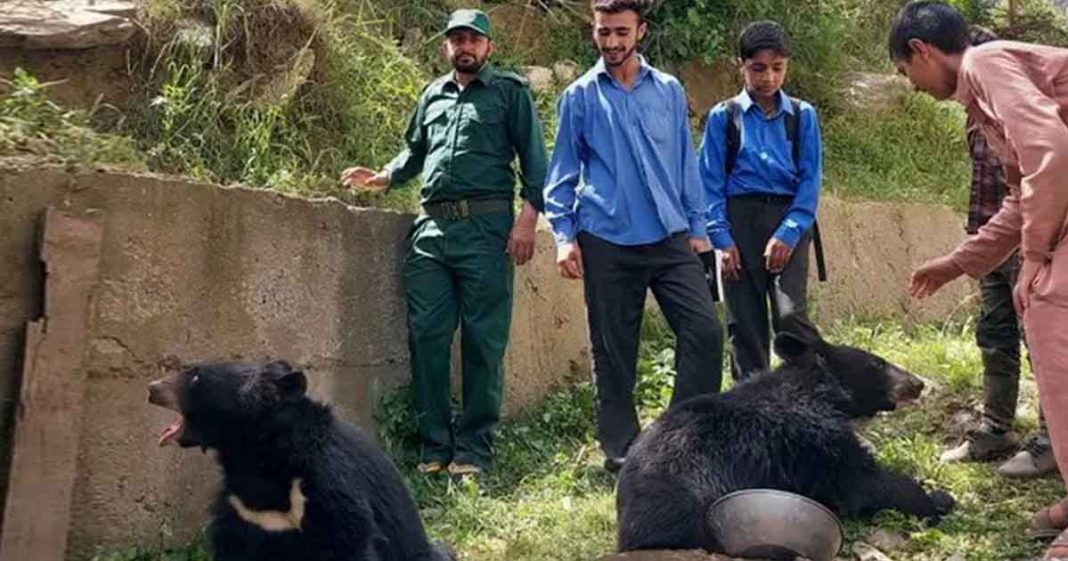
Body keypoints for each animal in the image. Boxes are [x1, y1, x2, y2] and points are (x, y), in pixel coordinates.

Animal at [147, 359, 453, 561]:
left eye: (195, 377)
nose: (151, 388)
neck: (255, 457)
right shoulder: (242, 510)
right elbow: (232, 542)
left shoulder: (327, 488)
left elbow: (349, 538)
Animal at [616, 314, 955, 552]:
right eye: (877, 363)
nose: (917, 383)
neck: (823, 389)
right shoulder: (811, 434)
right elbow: (859, 480)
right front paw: (937, 498)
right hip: (688, 507)